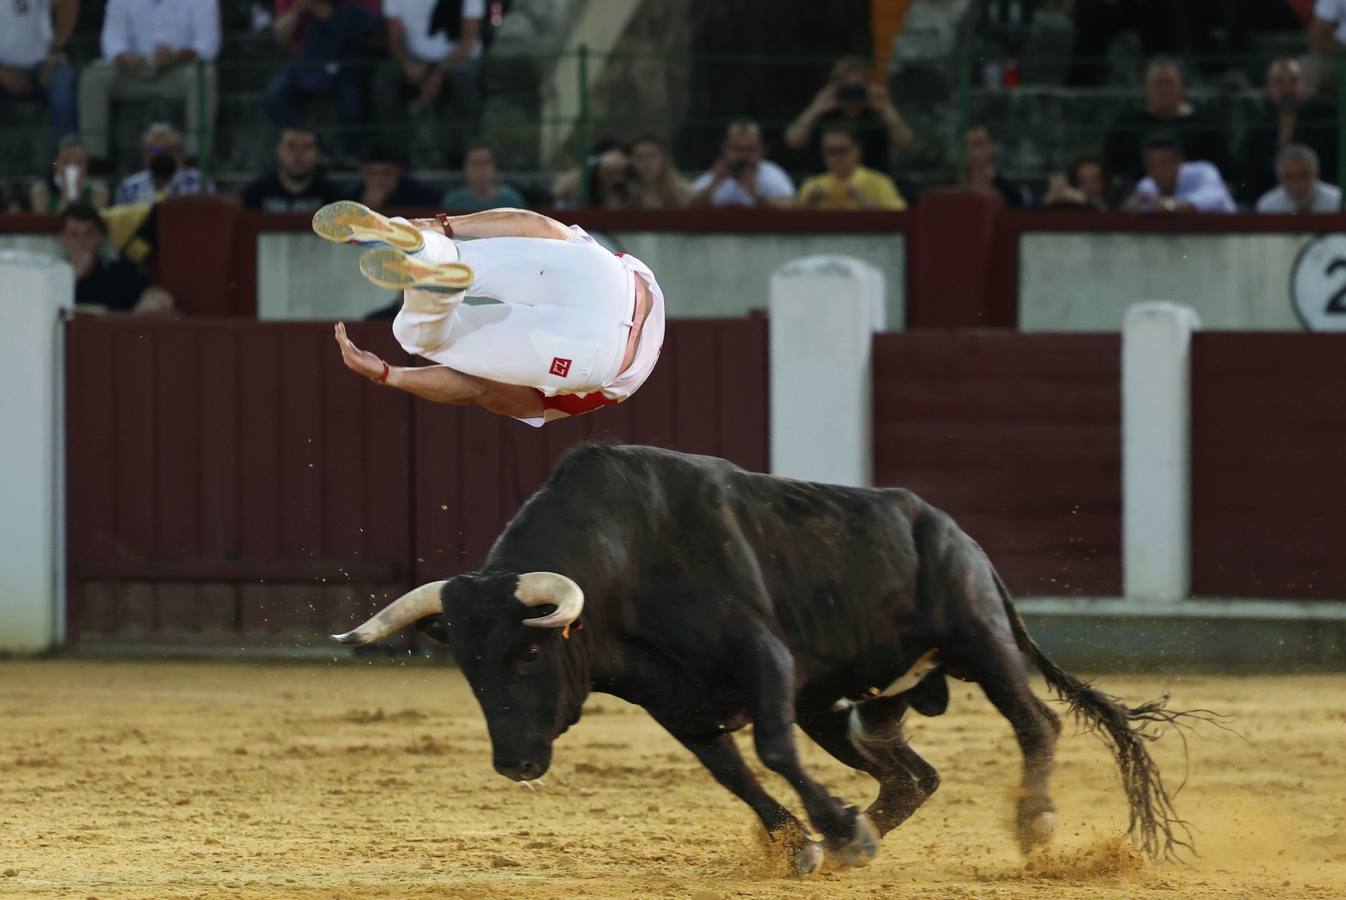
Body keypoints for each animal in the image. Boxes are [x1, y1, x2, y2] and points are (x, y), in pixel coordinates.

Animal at [336, 446, 1200, 871]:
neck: (624, 564)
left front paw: (831, 832)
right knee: (911, 774)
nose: (514, 764)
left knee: (1035, 722)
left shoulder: (766, 658)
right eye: (470, 666)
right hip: (853, 704)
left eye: (527, 654)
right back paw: (867, 828)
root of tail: (960, 536)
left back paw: (1033, 822)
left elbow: (771, 748)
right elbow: (733, 772)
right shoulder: (676, 702)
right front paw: (807, 841)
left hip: (977, 639)